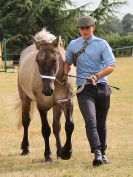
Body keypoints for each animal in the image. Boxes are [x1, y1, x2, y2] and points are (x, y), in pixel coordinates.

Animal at [15, 29, 75, 162]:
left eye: (55, 60)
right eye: (37, 61)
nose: (47, 91)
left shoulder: (66, 103)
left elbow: (68, 126)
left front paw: (66, 152)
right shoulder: (42, 107)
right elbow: (46, 130)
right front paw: (48, 155)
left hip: (56, 107)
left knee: (56, 127)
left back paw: (59, 151)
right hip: (25, 99)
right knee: (26, 121)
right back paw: (25, 148)